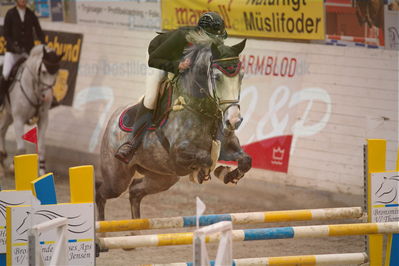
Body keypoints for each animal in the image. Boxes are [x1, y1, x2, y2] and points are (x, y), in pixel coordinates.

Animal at [0, 44, 62, 176]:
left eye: (57, 72)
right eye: (43, 72)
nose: (47, 97)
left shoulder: (43, 120)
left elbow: (42, 147)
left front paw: (42, 172)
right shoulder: (18, 119)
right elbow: (22, 148)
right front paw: (15, 168)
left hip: (9, 115)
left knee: (2, 130)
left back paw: (2, 160)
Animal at [96, 40, 252, 221]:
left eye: (241, 76)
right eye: (217, 77)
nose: (234, 121)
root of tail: (114, 116)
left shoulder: (227, 146)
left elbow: (245, 160)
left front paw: (227, 174)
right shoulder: (178, 152)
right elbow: (206, 158)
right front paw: (204, 173)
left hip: (163, 177)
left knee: (135, 191)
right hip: (117, 178)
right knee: (100, 192)